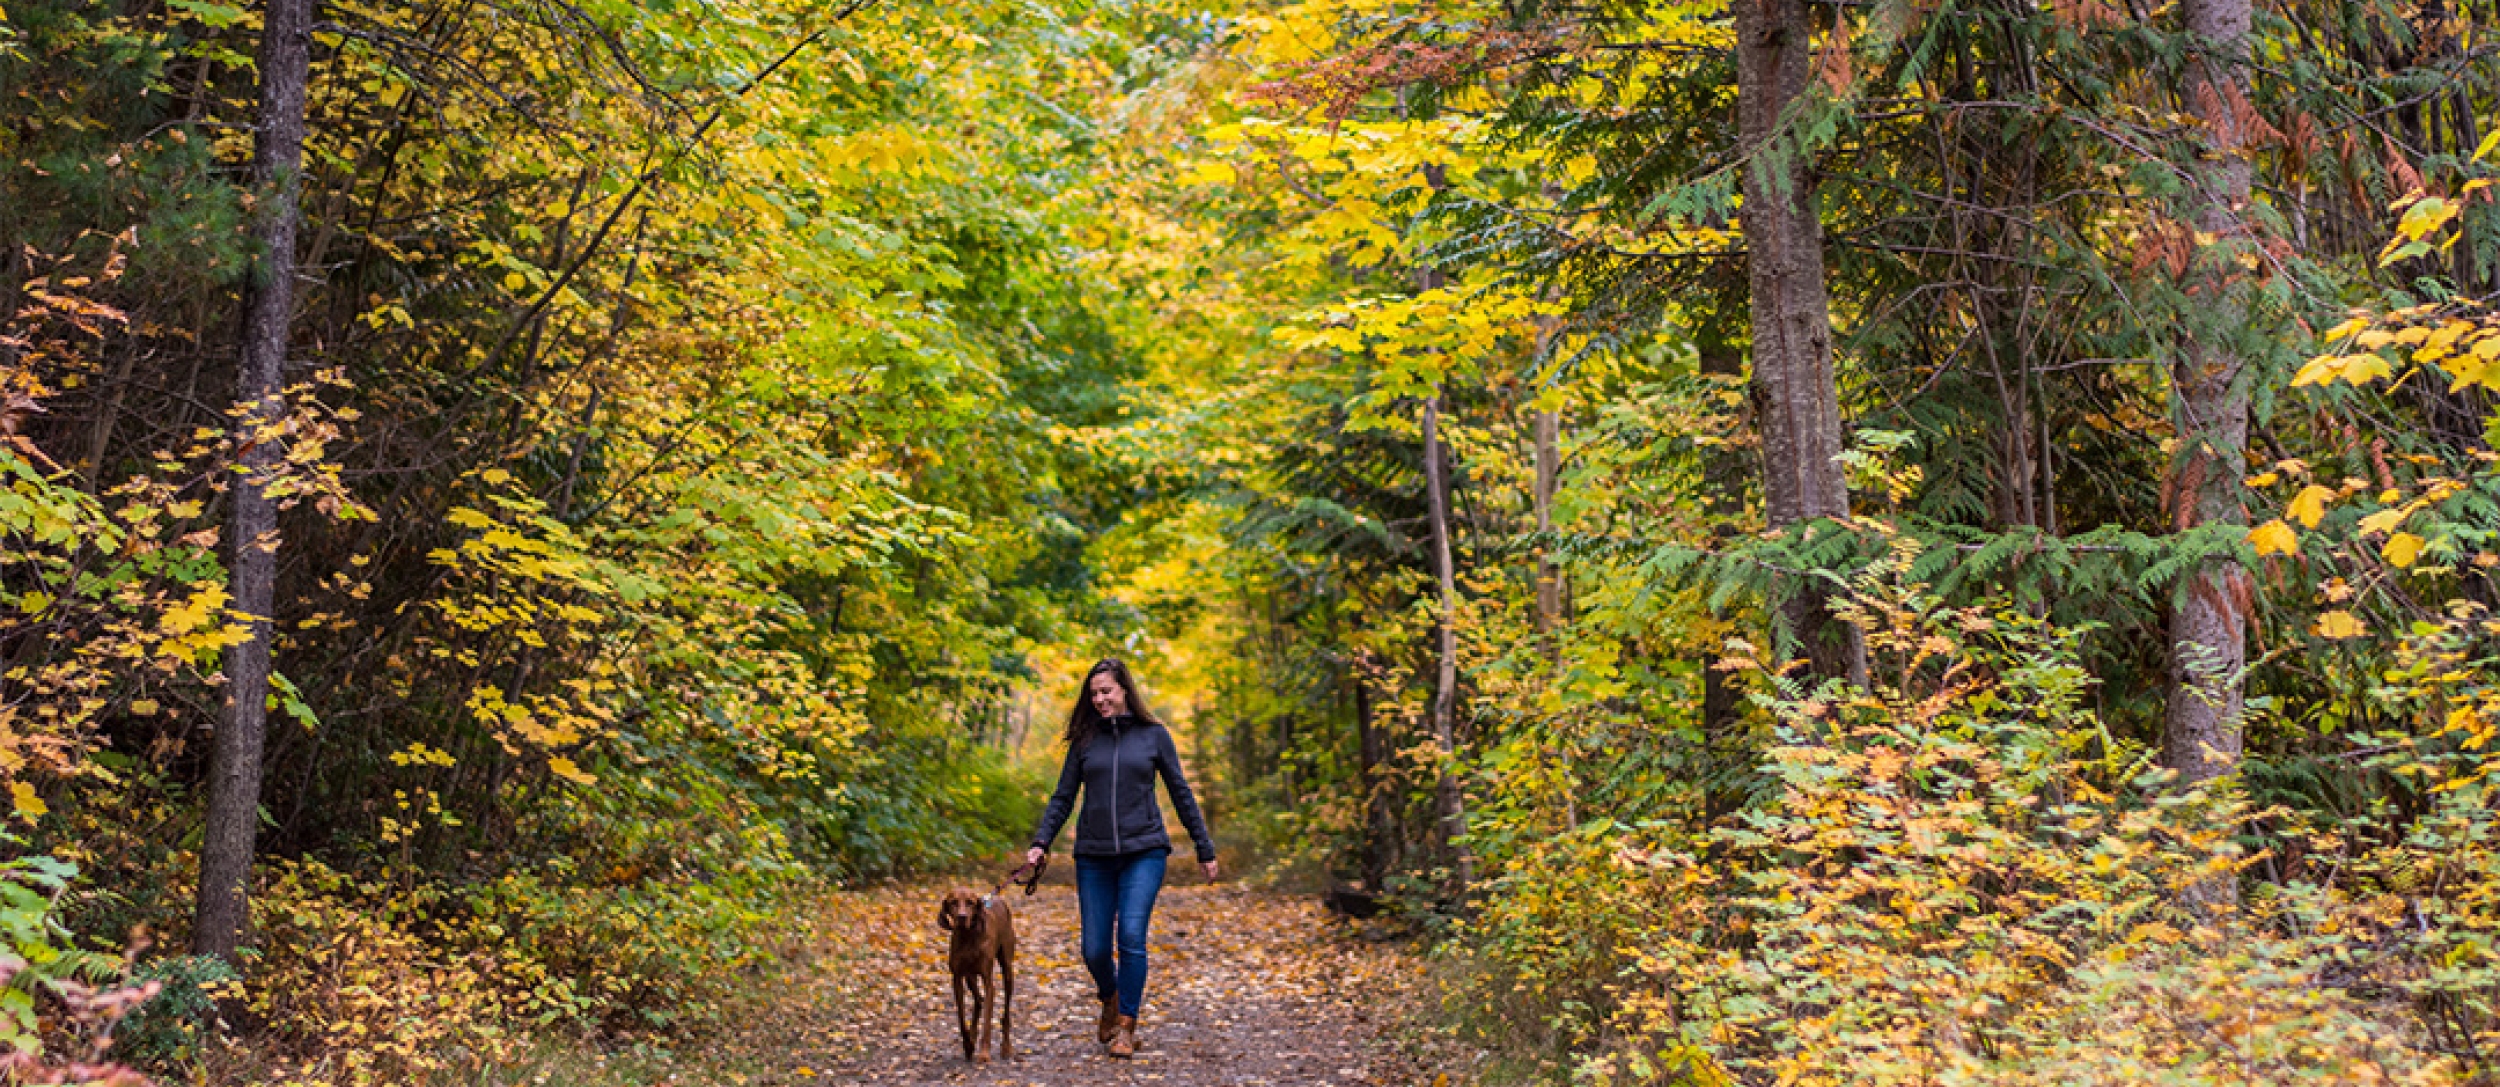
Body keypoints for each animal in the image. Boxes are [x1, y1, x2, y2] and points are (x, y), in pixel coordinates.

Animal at [940, 894, 1015, 1064]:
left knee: (1005, 1013)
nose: (962, 917)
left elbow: (987, 1022)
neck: (968, 936)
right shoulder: (957, 979)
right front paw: (968, 1045)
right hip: (970, 977)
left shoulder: (988, 981)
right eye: (953, 902)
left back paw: (1006, 1047)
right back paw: (973, 1037)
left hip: (1007, 969)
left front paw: (984, 1053)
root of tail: (998, 897)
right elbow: (962, 1019)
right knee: (979, 1000)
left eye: (970, 903)